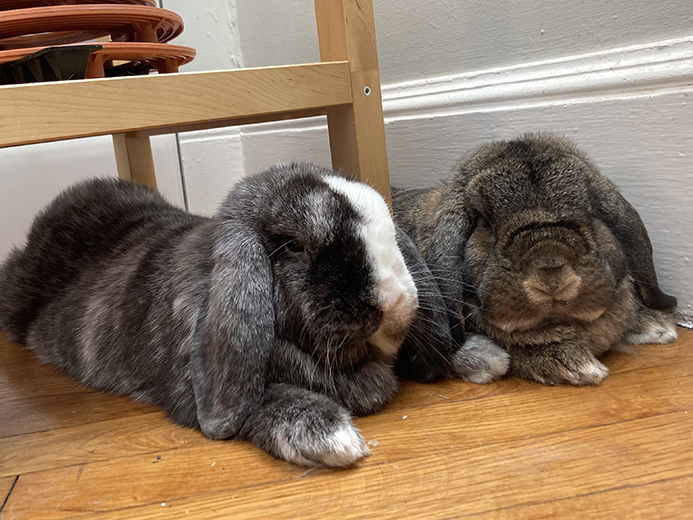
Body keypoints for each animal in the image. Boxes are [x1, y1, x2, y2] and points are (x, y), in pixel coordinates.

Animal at [0, 162, 508, 468]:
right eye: (295, 246)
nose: (396, 302)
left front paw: (486, 356)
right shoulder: (193, 392)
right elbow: (259, 402)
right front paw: (332, 438)